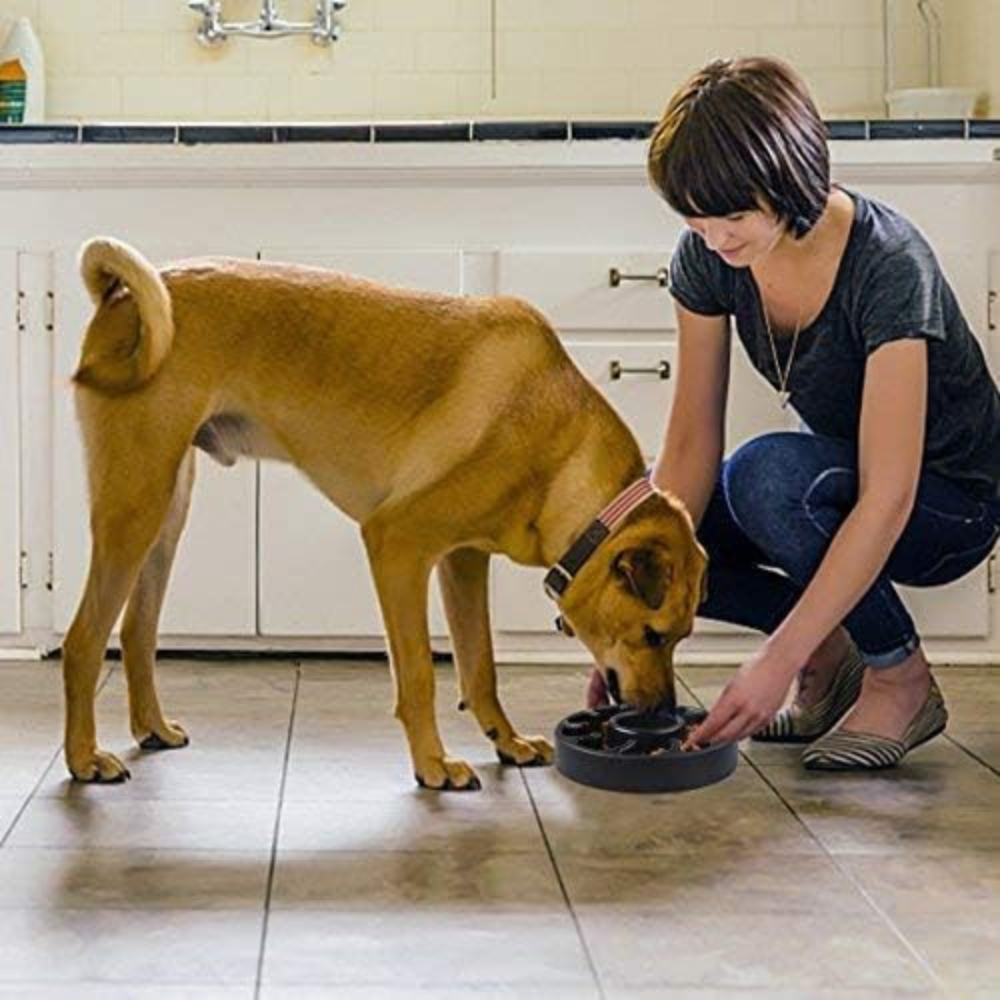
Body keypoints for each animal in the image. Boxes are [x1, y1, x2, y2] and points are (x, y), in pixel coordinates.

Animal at [62, 238, 708, 792]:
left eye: (680, 638)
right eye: (652, 634)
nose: (660, 714)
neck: (559, 452)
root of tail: (124, 295)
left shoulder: (463, 562)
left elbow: (480, 665)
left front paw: (507, 742)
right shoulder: (398, 545)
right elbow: (419, 672)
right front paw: (434, 766)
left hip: (166, 511)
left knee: (137, 630)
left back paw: (152, 728)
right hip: (134, 506)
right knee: (84, 640)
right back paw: (84, 758)